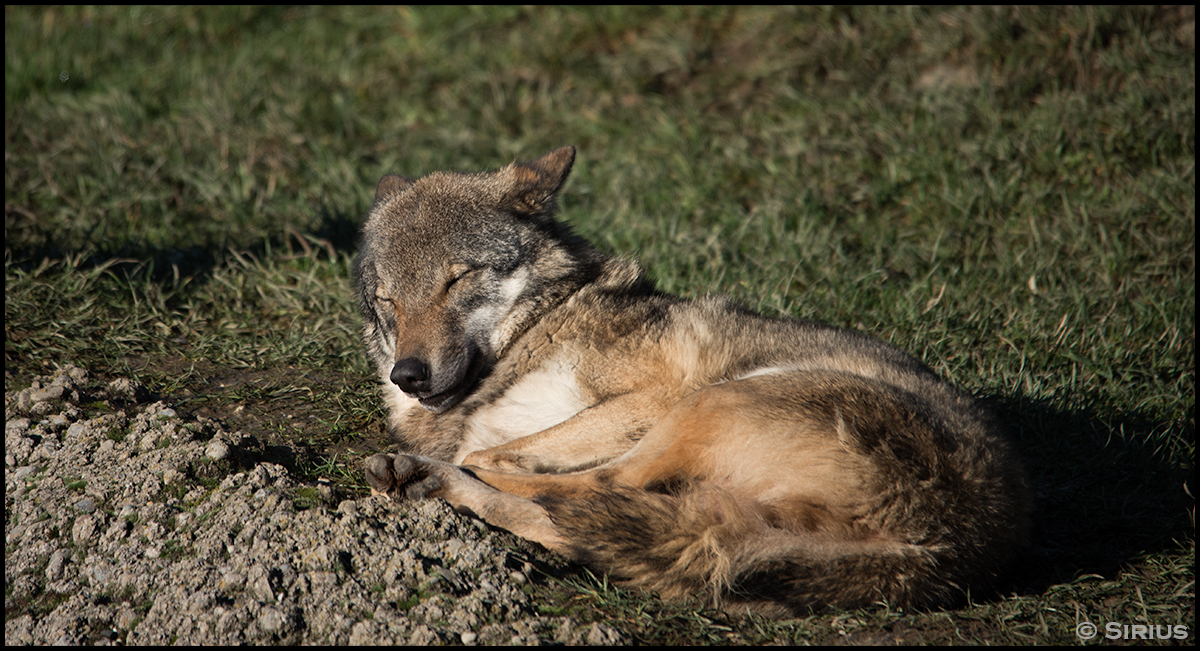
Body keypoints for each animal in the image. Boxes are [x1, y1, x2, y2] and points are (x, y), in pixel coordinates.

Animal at [352, 146, 1032, 619]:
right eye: (388, 299)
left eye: (456, 279)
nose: (407, 374)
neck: (540, 327)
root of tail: (948, 548)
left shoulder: (650, 395)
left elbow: (494, 452)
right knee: (579, 523)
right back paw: (426, 480)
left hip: (710, 399)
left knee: (587, 487)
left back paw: (434, 475)